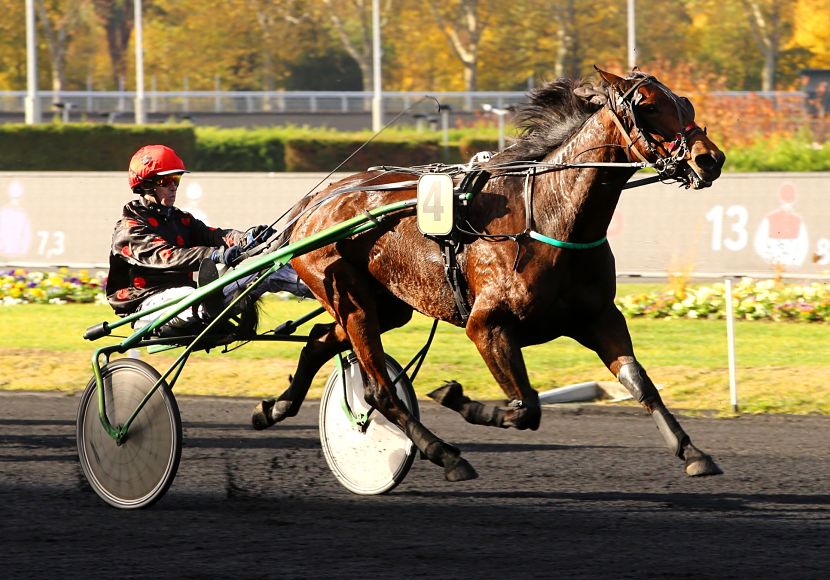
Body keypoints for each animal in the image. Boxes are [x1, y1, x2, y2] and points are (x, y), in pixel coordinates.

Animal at [254, 68, 728, 482]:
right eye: (647, 106)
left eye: (685, 102)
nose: (710, 159)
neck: (548, 217)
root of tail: (318, 200)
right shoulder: (487, 325)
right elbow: (527, 407)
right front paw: (458, 399)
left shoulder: (598, 317)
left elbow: (640, 383)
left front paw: (693, 452)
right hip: (348, 296)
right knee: (379, 390)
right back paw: (444, 454)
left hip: (387, 304)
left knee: (319, 340)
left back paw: (274, 408)